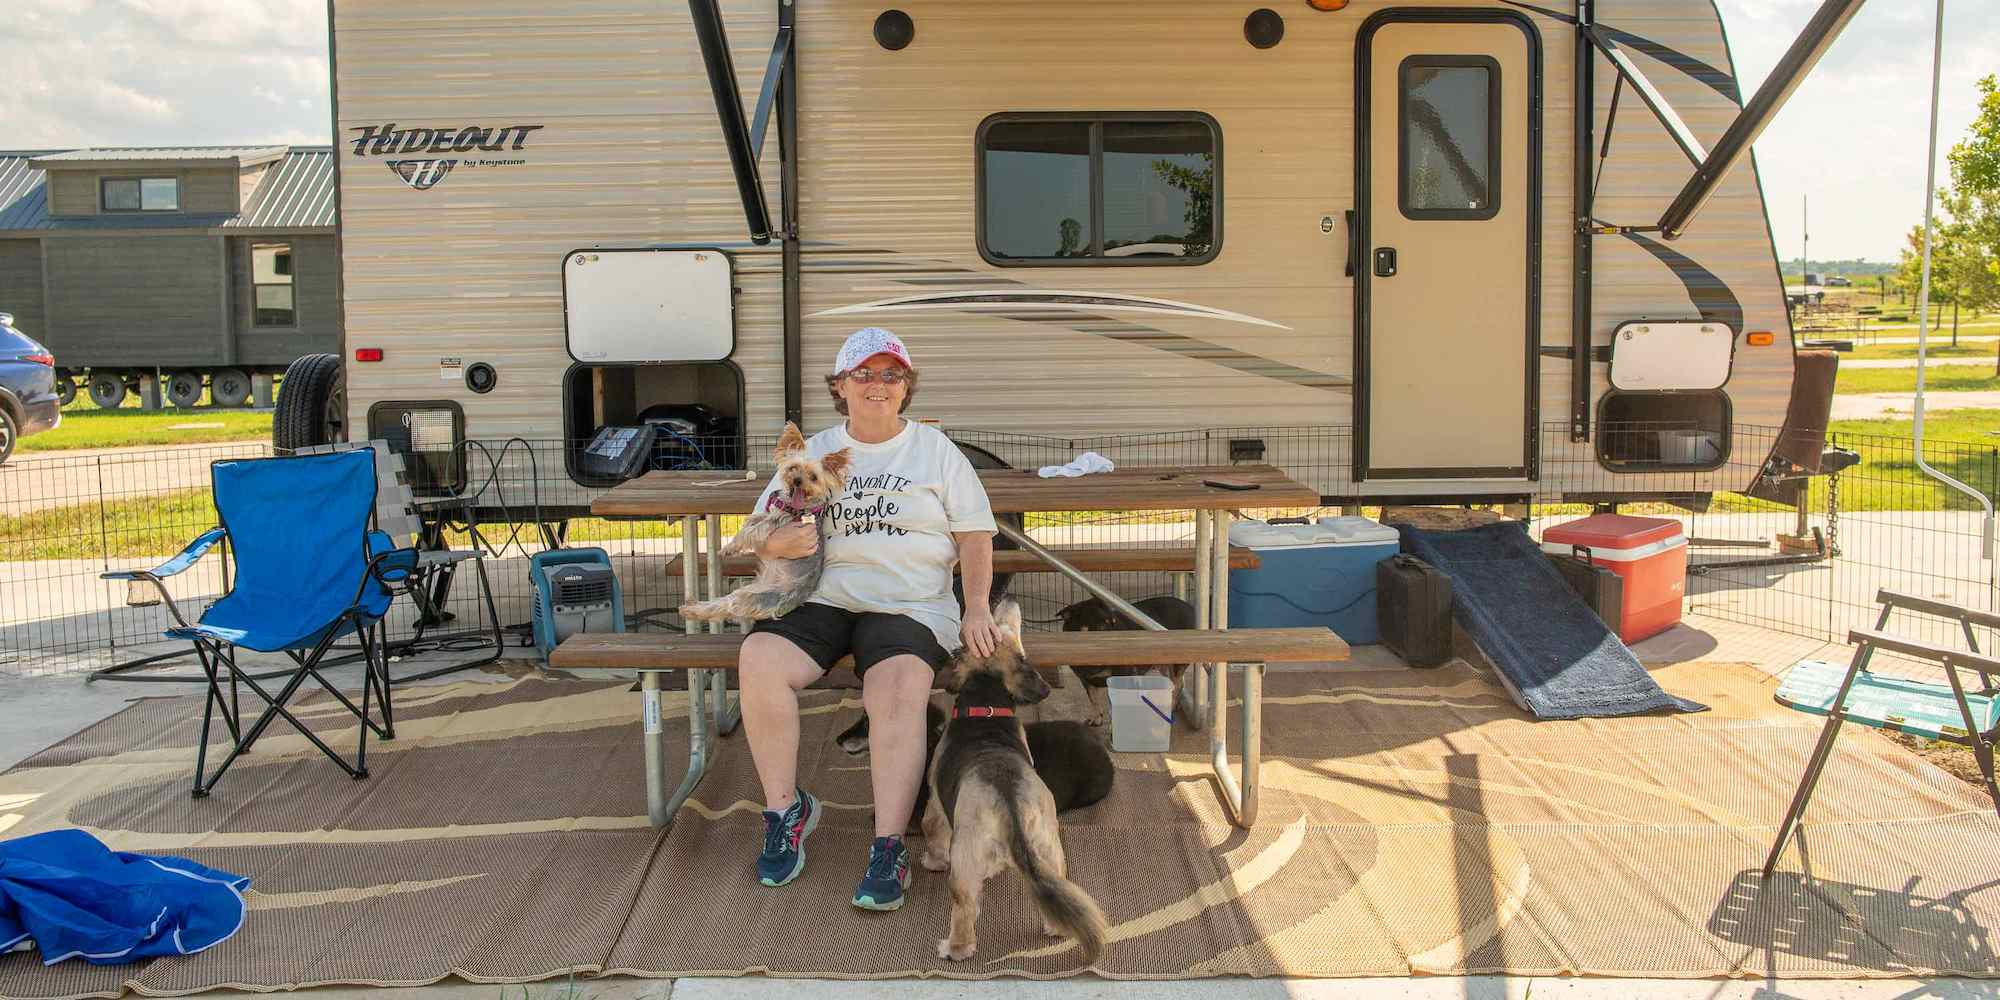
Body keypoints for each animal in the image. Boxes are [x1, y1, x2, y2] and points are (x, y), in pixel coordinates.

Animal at [920, 596, 1112, 964]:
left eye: (1002, 629)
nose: (1006, 598)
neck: (985, 708)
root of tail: (1010, 806)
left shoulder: (935, 806)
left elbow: (931, 831)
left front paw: (931, 861)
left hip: (964, 862)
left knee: (964, 910)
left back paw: (955, 948)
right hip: (1049, 849)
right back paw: (1054, 927)